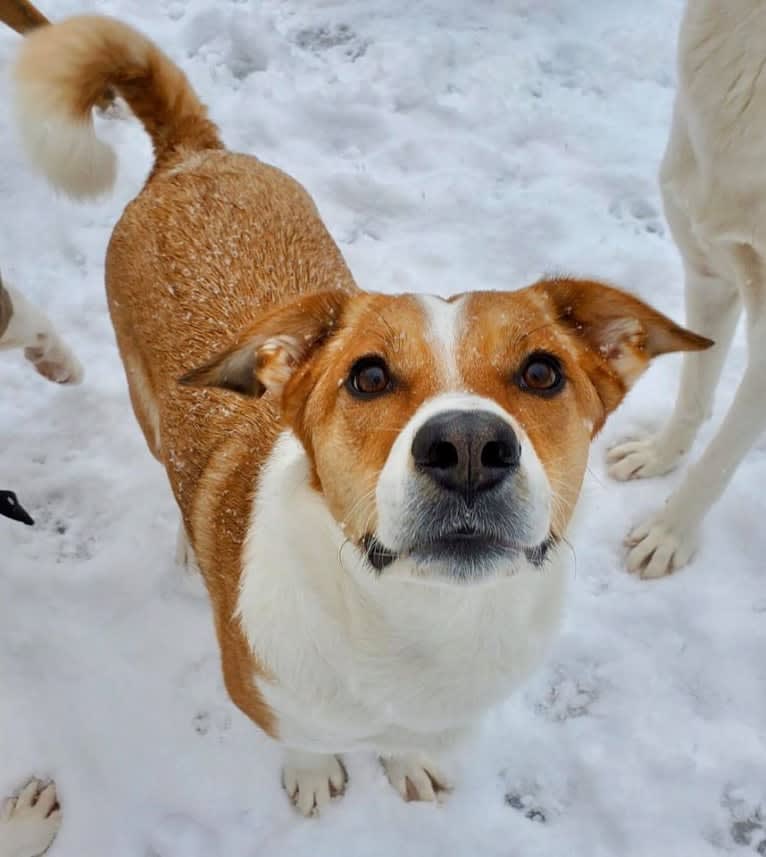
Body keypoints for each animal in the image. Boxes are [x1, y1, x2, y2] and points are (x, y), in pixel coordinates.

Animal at [12, 15, 716, 816]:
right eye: (368, 376)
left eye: (542, 372)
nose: (468, 447)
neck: (417, 623)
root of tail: (193, 154)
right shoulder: (263, 693)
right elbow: (304, 739)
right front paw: (315, 775)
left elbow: (408, 743)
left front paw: (407, 760)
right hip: (147, 407)